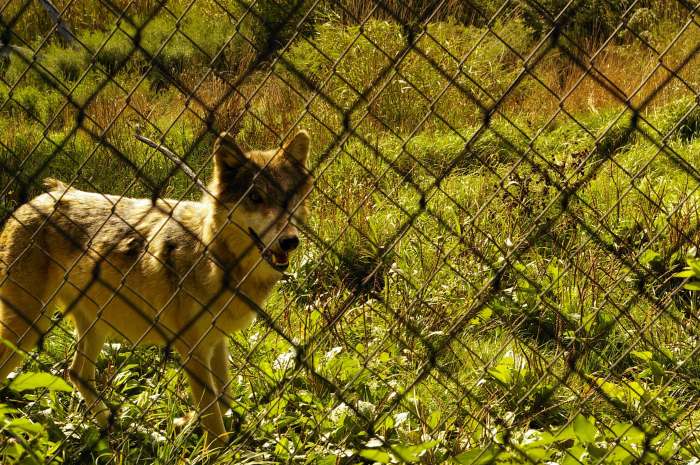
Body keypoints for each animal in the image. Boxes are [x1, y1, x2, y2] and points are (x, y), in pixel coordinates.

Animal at [0, 130, 312, 447]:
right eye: (255, 198)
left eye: (290, 198)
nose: (290, 241)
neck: (214, 256)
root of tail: (33, 200)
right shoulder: (193, 350)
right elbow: (212, 414)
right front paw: (212, 449)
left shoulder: (216, 341)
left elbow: (223, 396)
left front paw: (184, 422)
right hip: (28, 329)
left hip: (94, 326)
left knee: (77, 373)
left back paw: (116, 431)